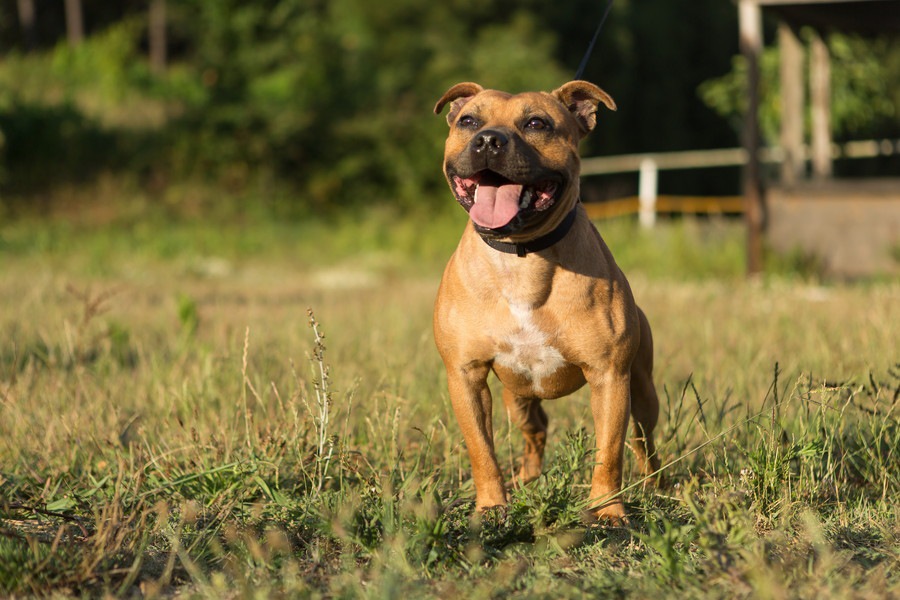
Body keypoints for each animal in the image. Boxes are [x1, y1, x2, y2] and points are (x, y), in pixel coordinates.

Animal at [434, 81, 660, 524]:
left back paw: (656, 486)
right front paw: (492, 506)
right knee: (535, 428)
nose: (489, 140)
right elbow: (482, 451)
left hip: (643, 389)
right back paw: (528, 480)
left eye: (536, 124)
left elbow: (609, 452)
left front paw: (607, 511)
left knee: (644, 442)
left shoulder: (610, 377)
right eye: (469, 121)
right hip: (517, 395)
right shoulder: (466, 375)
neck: (521, 256)